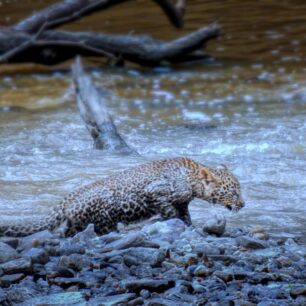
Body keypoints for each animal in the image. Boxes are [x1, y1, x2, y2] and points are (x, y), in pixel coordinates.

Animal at [0, 158, 244, 237]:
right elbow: (170, 211)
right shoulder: (155, 191)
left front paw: (189, 227)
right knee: (99, 229)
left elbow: (185, 216)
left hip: (77, 222)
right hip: (103, 210)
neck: (193, 181)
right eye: (234, 192)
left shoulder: (183, 203)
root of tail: (66, 200)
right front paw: (161, 220)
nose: (243, 203)